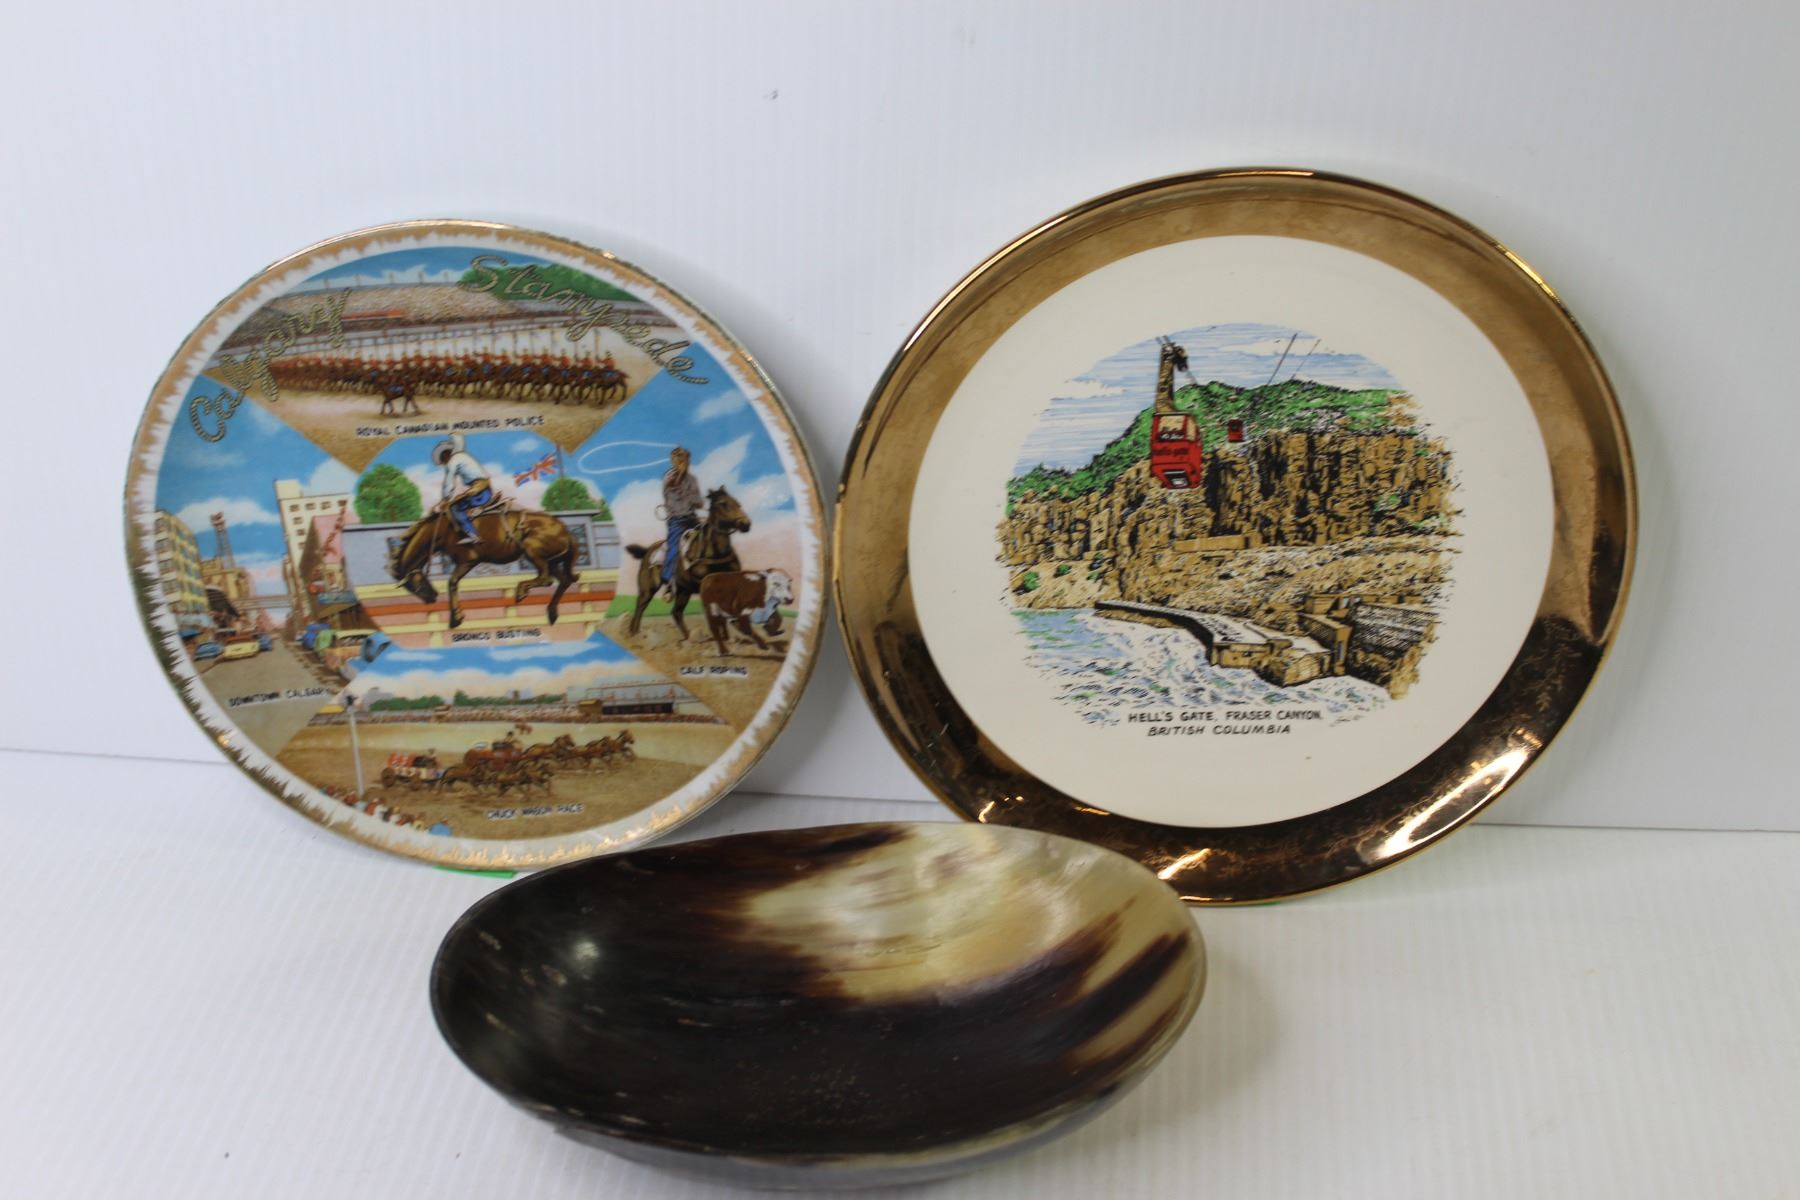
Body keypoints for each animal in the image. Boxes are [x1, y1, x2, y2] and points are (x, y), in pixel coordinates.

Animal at [389, 503, 579, 630]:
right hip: (553, 561)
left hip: (533, 551)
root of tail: (566, 532)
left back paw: (521, 592)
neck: (444, 529)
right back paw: (552, 613)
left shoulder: (468, 560)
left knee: (546, 579)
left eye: (411, 585)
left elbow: (452, 582)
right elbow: (453, 583)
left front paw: (456, 618)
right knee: (563, 581)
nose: (432, 597)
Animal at [624, 487, 749, 640]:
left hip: (684, 590)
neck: (714, 552)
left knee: (676, 612)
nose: (746, 524)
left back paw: (688, 638)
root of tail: (648, 550)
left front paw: (728, 636)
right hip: (648, 589)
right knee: (640, 607)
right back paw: (634, 634)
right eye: (723, 504)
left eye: (737, 503)